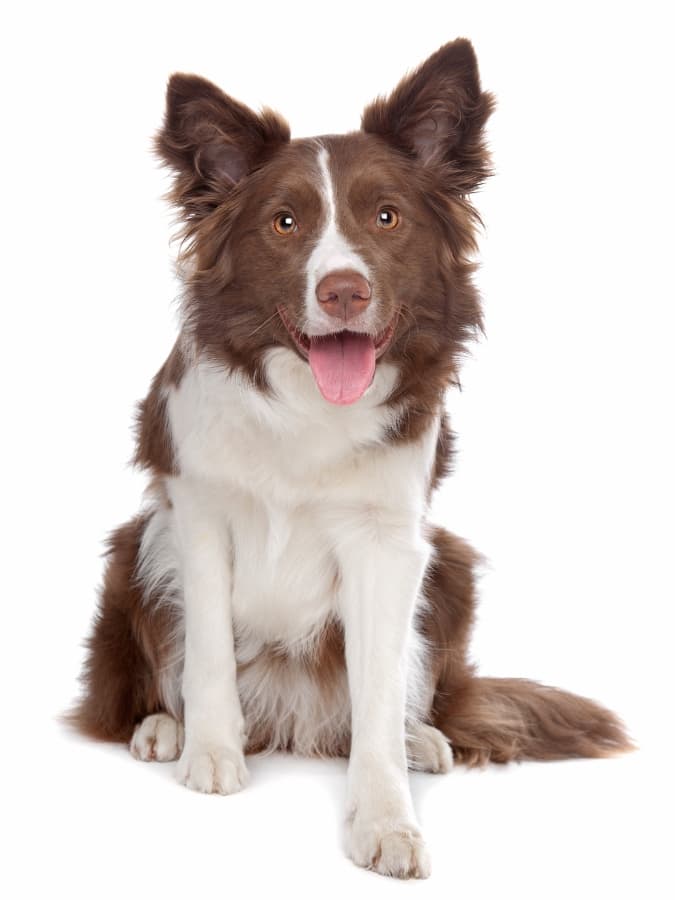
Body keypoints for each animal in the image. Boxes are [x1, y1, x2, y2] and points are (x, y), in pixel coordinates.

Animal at [71, 40, 632, 880]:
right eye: (284, 223)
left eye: (385, 217)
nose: (343, 292)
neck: (307, 411)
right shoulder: (196, 513)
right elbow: (206, 651)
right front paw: (210, 752)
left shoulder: (388, 543)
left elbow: (375, 695)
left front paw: (385, 820)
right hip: (132, 547)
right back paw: (163, 728)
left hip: (448, 564)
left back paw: (420, 737)